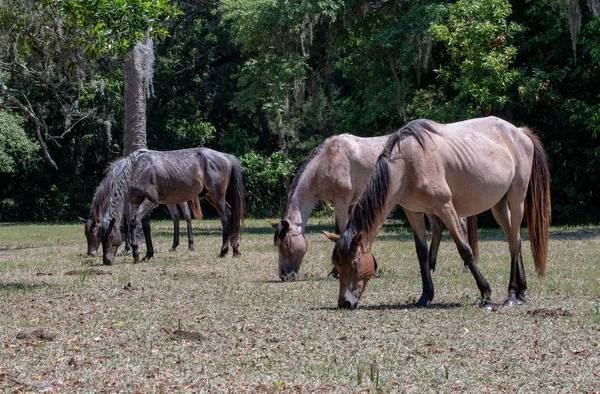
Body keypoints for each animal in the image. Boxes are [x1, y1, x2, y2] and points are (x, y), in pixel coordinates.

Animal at [97, 148, 245, 264]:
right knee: (231, 215)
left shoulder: (150, 202)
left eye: (110, 237)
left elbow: (133, 223)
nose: (106, 261)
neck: (137, 169)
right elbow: (146, 228)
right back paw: (235, 249)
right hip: (210, 197)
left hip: (217, 197)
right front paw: (148, 255)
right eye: (100, 237)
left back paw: (223, 251)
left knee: (225, 218)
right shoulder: (142, 204)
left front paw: (136, 253)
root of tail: (225, 156)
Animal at [272, 134, 478, 282]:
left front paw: (335, 272)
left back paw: (465, 266)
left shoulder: (342, 201)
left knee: (459, 225)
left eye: (286, 244)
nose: (285, 276)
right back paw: (432, 265)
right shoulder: (352, 203)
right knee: (437, 226)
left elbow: (339, 230)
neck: (327, 160)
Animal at [326, 117, 552, 310]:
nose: (344, 303)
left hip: (517, 199)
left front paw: (486, 295)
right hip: (499, 205)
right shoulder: (414, 212)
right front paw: (425, 296)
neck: (408, 164)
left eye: (354, 263)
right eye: (337, 264)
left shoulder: (445, 207)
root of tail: (519, 132)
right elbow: (422, 253)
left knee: (514, 242)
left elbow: (465, 249)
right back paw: (521, 293)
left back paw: (512, 295)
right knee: (515, 240)